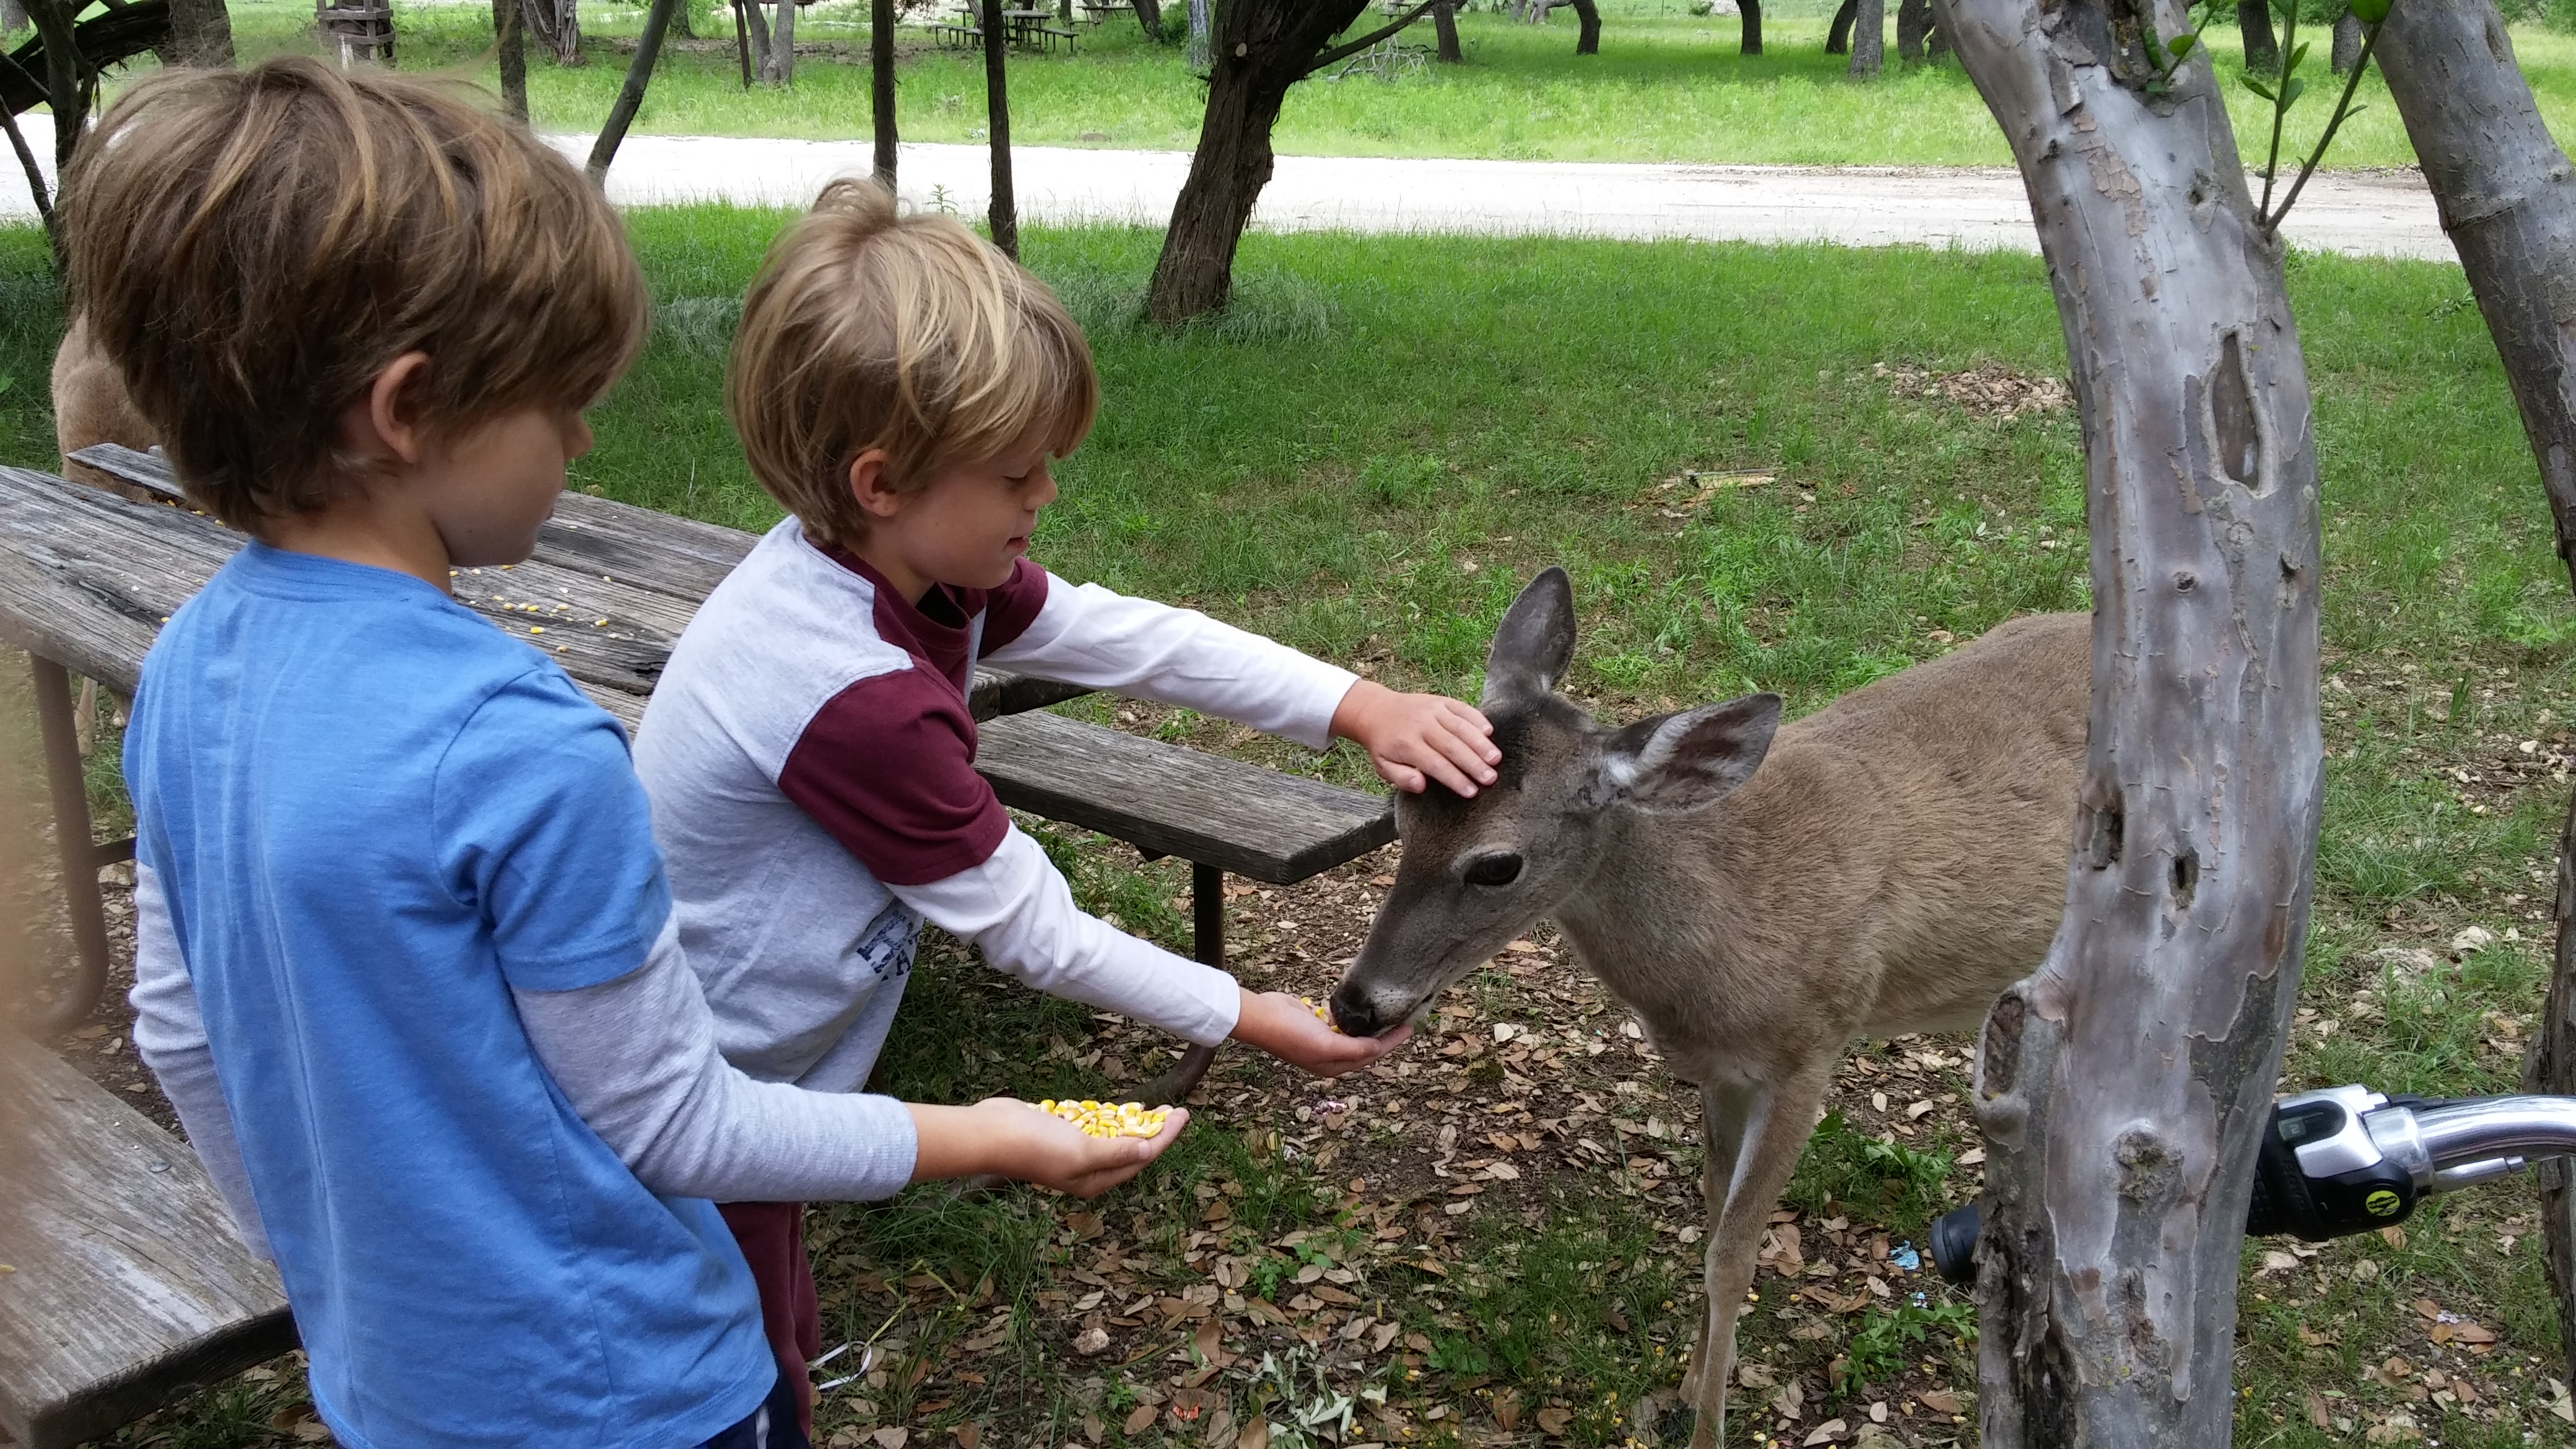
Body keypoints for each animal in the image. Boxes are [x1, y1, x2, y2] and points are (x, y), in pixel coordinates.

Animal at [1328, 567, 2089, 1447]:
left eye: (1496, 865)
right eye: (1397, 812)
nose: (1354, 1006)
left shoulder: (1812, 1047)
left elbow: (1733, 1257)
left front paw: (1706, 1424)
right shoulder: (1723, 1073)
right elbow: (1709, 1210)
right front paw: (1687, 1385)